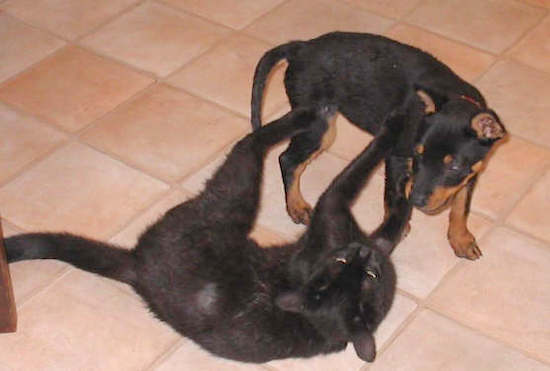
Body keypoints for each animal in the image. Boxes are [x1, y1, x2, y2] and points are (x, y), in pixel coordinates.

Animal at [4, 106, 402, 364]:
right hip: (235, 199)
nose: (361, 253)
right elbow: (372, 184)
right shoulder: (333, 213)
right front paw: (405, 126)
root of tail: (136, 265)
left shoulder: (335, 215)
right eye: (341, 260)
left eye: (368, 275)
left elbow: (369, 191)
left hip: (231, 198)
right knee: (254, 141)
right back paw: (314, 117)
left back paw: (314, 117)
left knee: (251, 144)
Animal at [251, 31, 508, 258]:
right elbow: (391, 194)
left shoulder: (473, 170)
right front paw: (396, 226)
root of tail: (301, 47)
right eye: (418, 156)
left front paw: (461, 239)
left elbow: (461, 206)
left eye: (454, 166)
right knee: (288, 159)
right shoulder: (396, 154)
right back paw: (296, 206)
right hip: (318, 125)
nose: (415, 201)